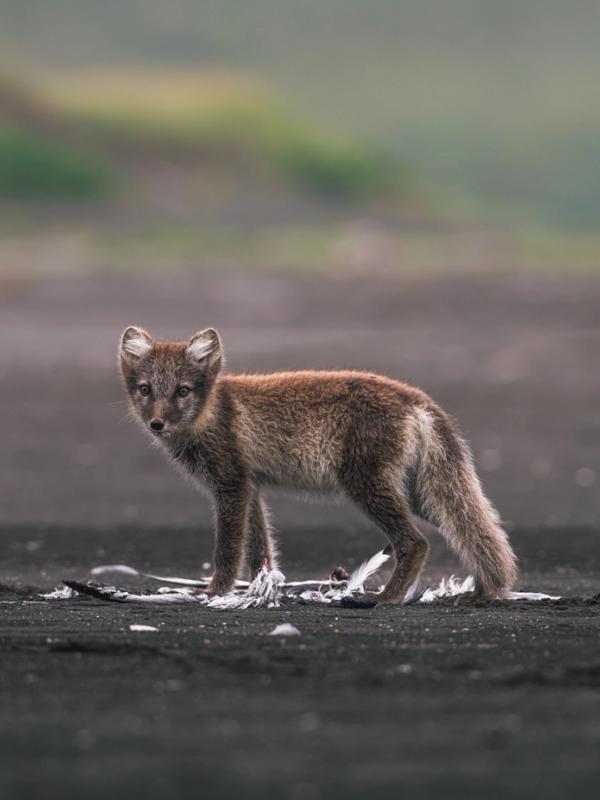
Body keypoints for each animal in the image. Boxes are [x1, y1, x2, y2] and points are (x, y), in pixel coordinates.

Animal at [119, 325, 517, 605]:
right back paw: (482, 590)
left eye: (183, 391)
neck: (213, 412)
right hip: (419, 496)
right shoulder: (251, 487)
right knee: (476, 530)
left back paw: (388, 597)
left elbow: (228, 549)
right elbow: (261, 551)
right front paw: (260, 592)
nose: (157, 424)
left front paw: (215, 592)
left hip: (366, 487)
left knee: (416, 542)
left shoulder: (231, 485)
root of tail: (416, 399)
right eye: (146, 389)